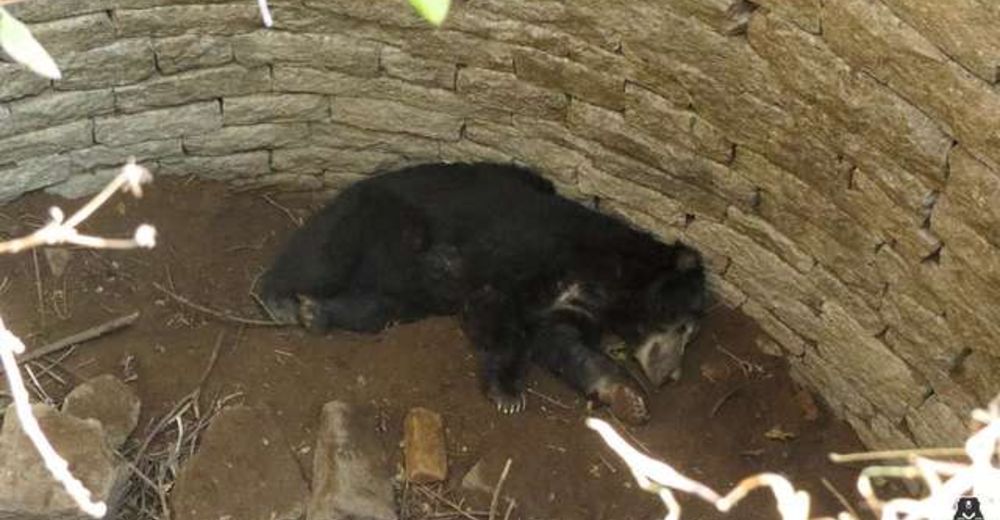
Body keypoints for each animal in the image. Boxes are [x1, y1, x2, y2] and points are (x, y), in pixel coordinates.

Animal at [262, 161, 708, 422]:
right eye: (685, 326)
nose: (671, 375)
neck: (612, 280)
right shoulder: (532, 254)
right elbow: (500, 312)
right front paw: (508, 392)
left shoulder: (574, 306)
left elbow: (563, 343)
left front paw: (628, 399)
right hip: (378, 217)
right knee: (324, 254)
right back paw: (278, 298)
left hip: (409, 285)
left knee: (381, 307)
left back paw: (317, 313)